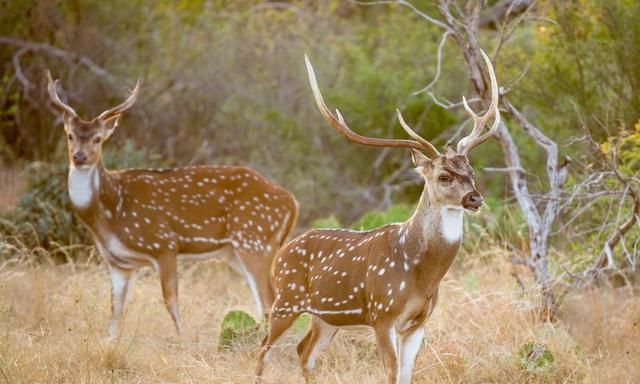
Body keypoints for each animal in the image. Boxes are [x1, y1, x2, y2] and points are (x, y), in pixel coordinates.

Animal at [46, 73, 298, 338]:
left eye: (98, 139)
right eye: (70, 135)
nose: (79, 157)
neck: (109, 214)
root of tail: (292, 202)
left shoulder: (164, 244)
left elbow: (171, 301)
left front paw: (182, 338)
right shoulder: (118, 263)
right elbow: (115, 310)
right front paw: (110, 340)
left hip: (255, 241)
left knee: (270, 302)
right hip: (235, 252)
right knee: (268, 302)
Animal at [255, 49, 500, 382]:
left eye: (471, 172)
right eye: (444, 176)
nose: (475, 198)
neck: (421, 274)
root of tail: (281, 253)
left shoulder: (419, 321)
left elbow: (407, 374)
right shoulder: (383, 313)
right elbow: (391, 372)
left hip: (326, 317)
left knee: (304, 351)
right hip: (286, 299)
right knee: (262, 351)